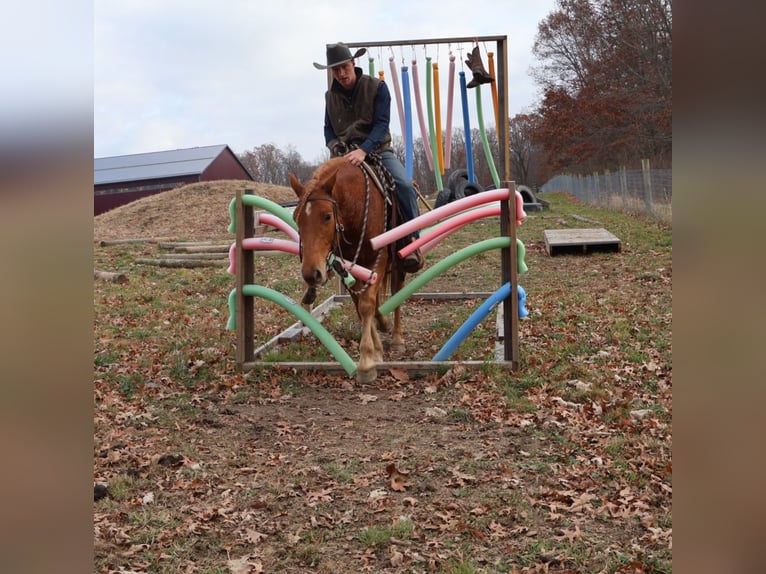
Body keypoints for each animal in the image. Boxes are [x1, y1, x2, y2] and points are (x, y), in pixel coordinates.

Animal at [289, 156, 407, 383]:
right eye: (297, 219)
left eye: (327, 216)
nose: (311, 274)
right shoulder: (349, 268)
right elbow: (360, 305)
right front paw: (376, 351)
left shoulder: (378, 259)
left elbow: (366, 304)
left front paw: (366, 362)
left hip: (398, 262)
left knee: (397, 290)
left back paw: (397, 337)